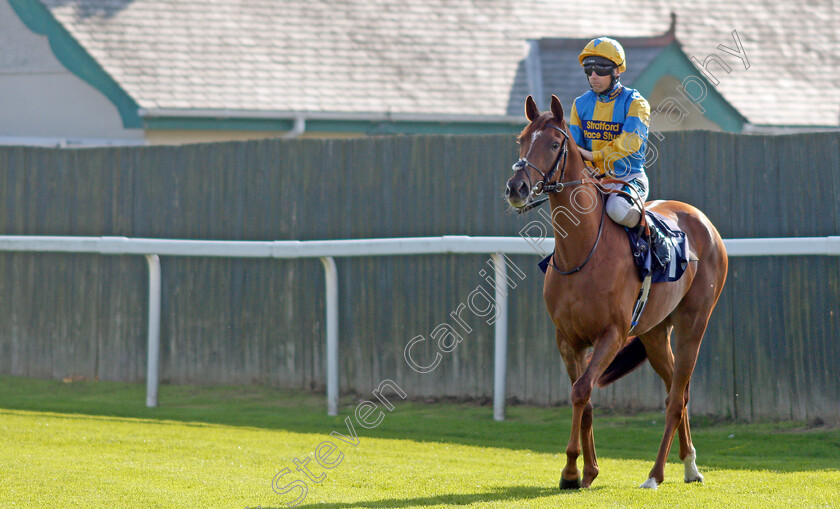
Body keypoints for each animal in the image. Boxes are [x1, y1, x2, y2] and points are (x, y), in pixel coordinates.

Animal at [506, 95, 728, 488]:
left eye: (554, 143)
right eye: (521, 140)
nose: (516, 187)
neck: (582, 252)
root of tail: (703, 222)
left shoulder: (612, 334)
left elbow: (581, 390)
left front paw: (570, 469)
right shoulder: (567, 339)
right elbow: (584, 397)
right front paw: (587, 470)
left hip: (693, 324)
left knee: (675, 398)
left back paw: (655, 474)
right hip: (655, 333)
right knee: (679, 390)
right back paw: (690, 465)